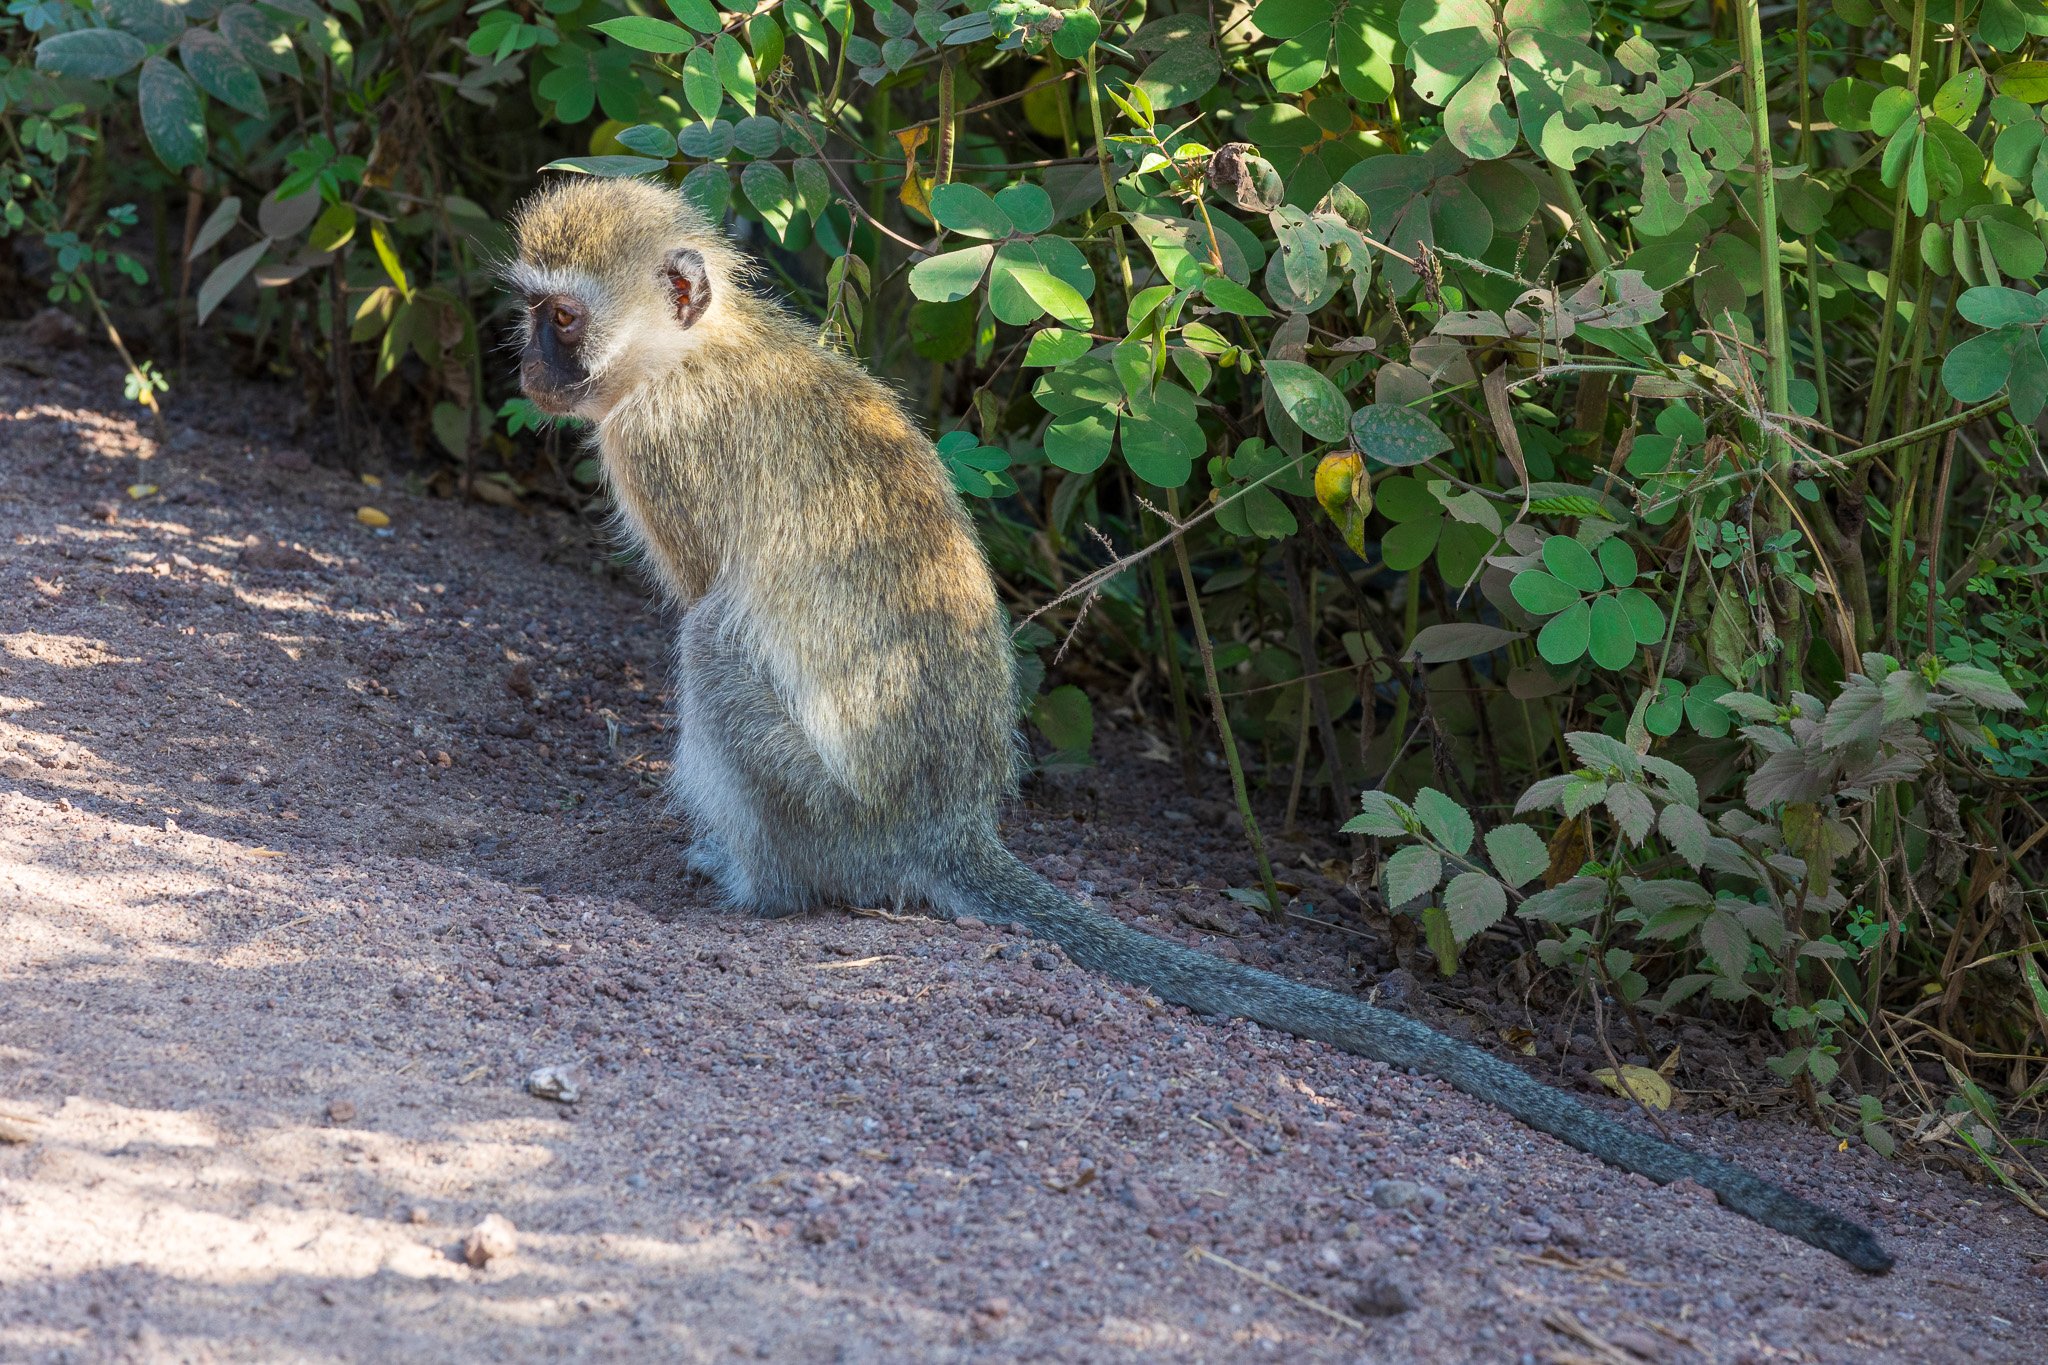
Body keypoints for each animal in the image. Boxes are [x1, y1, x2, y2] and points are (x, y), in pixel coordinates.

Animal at [503, 175, 1892, 1277]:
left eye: (561, 319)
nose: (527, 370)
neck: (697, 354)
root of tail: (946, 822)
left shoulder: (661, 448)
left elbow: (695, 586)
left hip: (820, 801)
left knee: (713, 640)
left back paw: (756, 885)